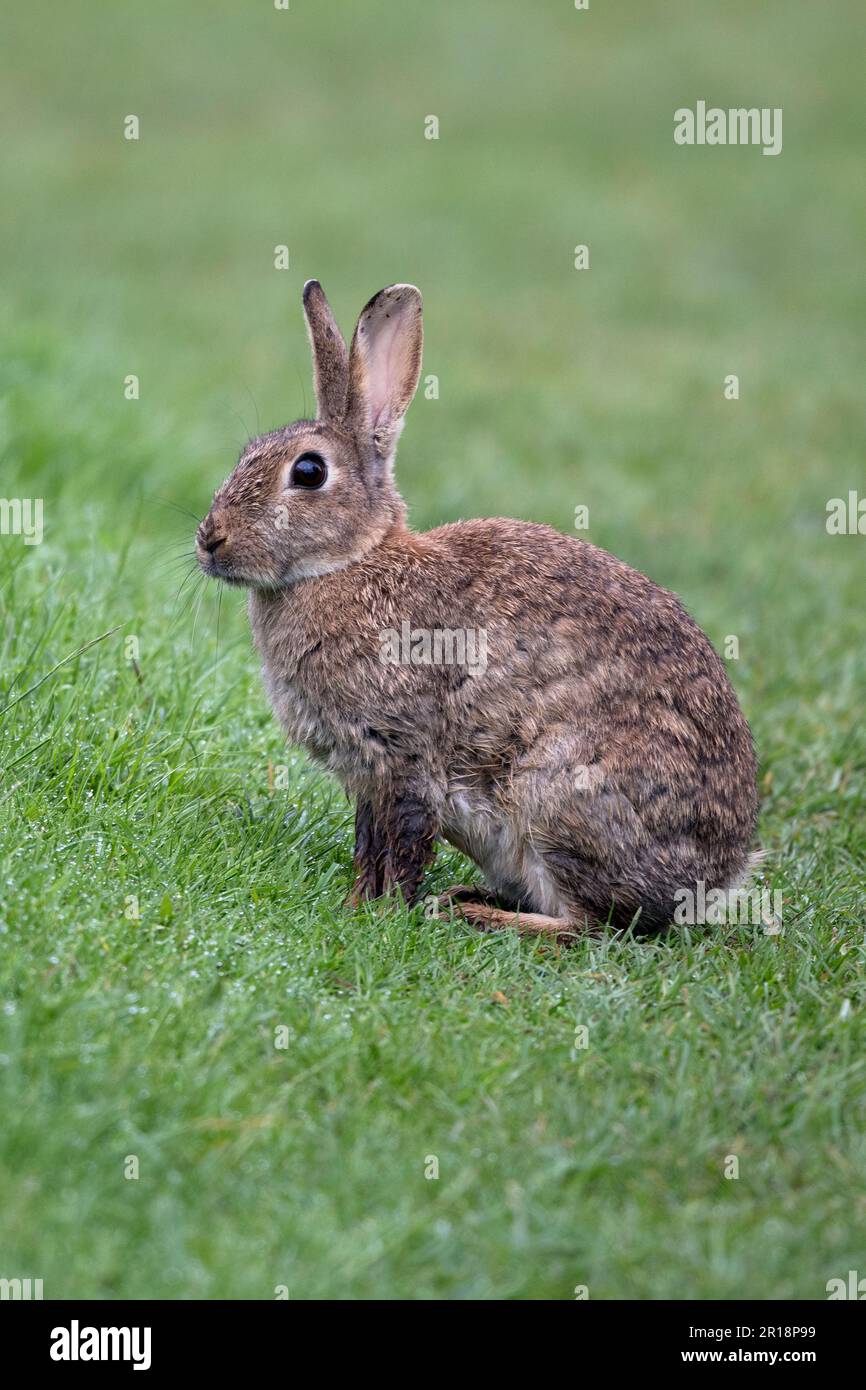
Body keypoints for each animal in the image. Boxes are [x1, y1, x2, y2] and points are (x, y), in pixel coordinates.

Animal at [198, 276, 756, 939]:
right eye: (248, 452)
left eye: (308, 471)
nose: (210, 538)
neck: (350, 561)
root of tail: (717, 877)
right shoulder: (367, 775)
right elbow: (367, 845)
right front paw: (358, 905)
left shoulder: (407, 757)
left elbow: (402, 843)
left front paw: (386, 914)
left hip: (557, 796)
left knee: (590, 924)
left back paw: (474, 912)